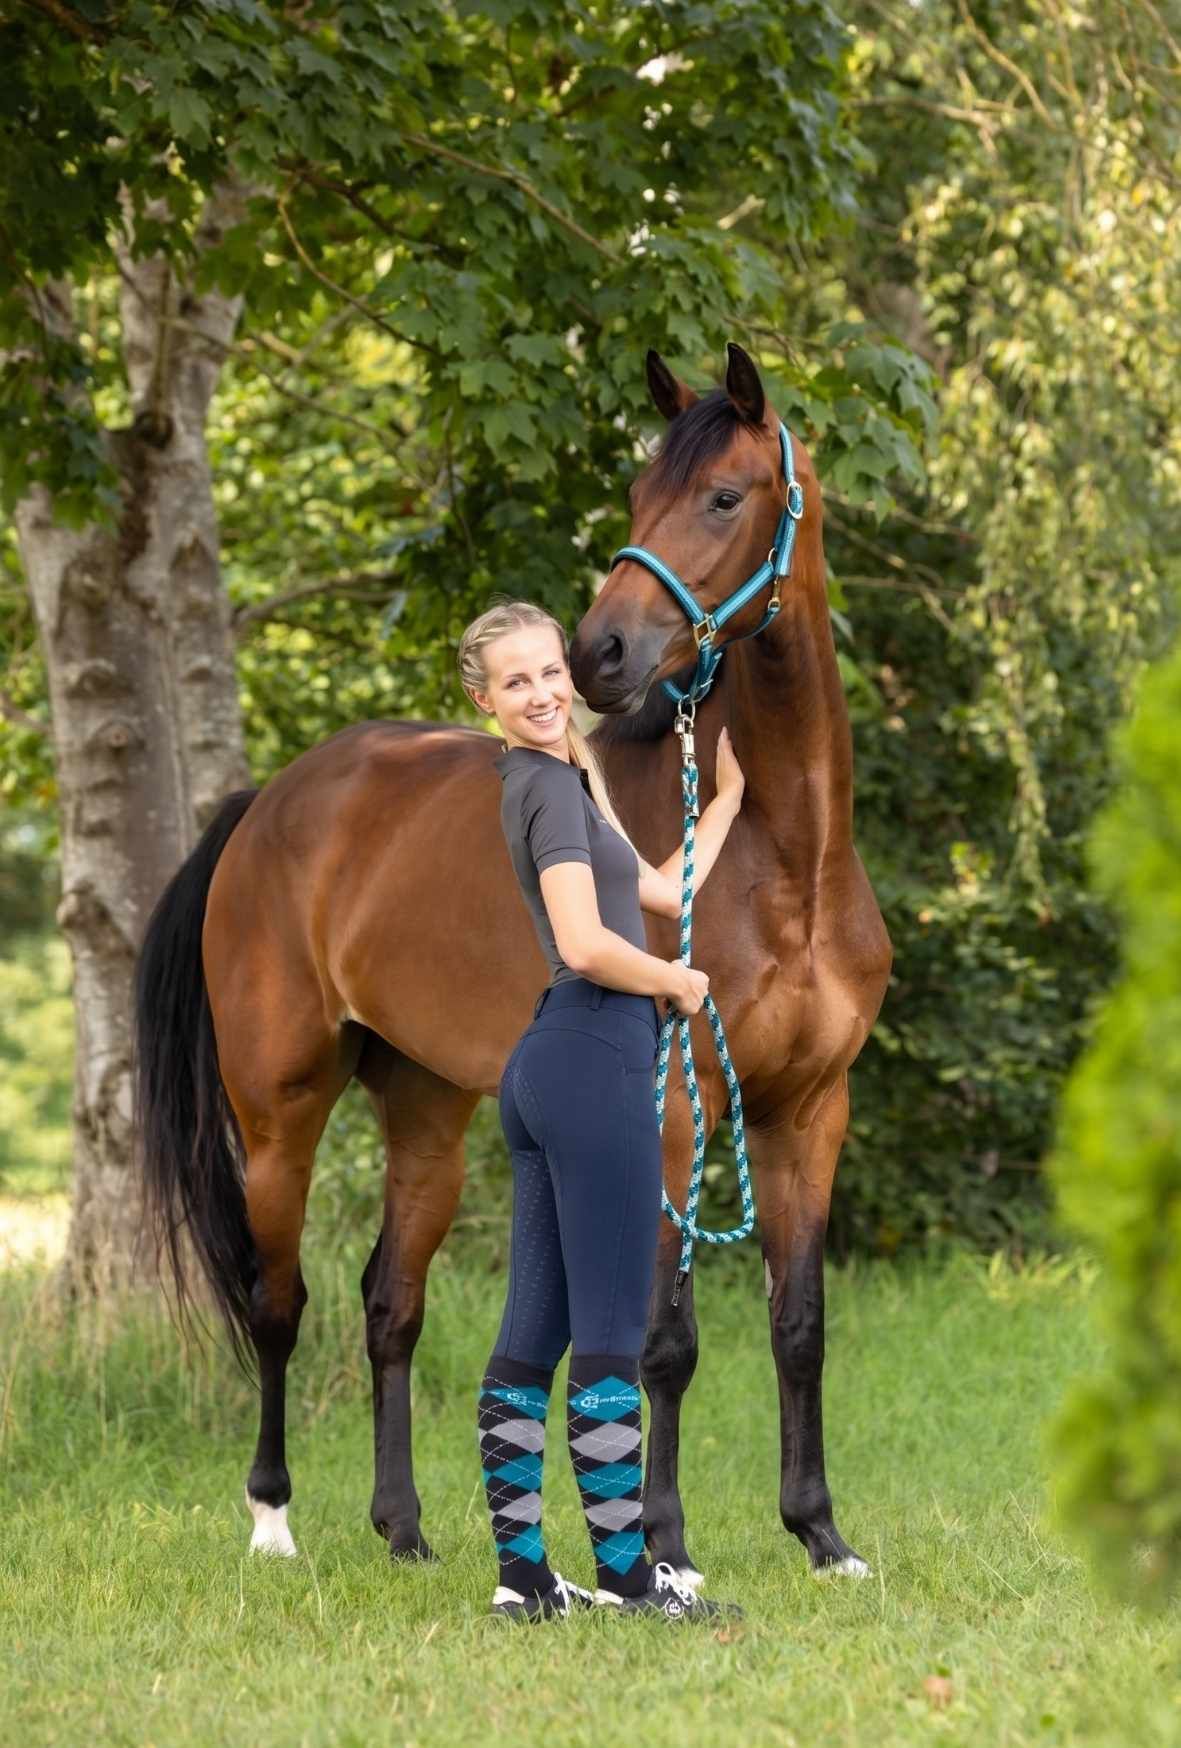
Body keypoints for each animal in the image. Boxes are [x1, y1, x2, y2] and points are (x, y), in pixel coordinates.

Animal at [136, 340, 892, 1581]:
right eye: (635, 494)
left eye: (723, 496)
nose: (598, 653)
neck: (782, 862)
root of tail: (271, 804)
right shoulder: (672, 1112)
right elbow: (663, 1339)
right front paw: (667, 1546)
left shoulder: (809, 1108)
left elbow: (799, 1325)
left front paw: (821, 1533)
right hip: (277, 1113)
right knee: (275, 1298)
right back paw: (272, 1518)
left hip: (427, 1109)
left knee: (387, 1301)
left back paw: (403, 1530)